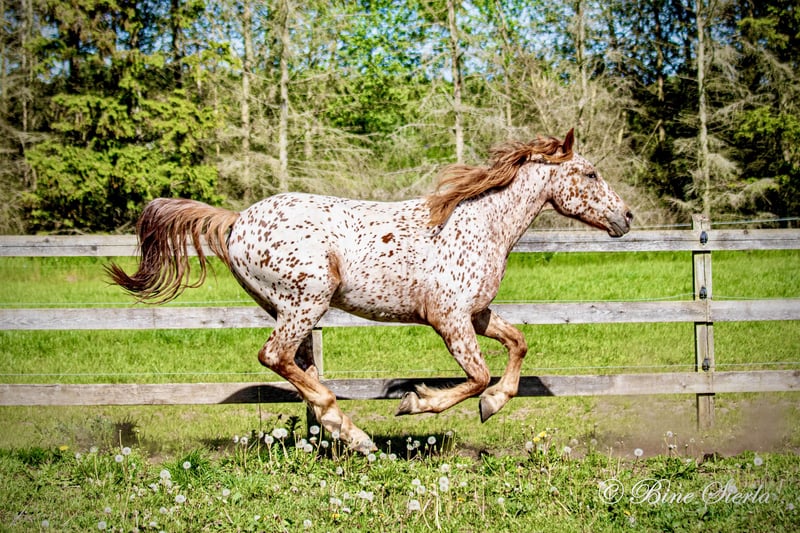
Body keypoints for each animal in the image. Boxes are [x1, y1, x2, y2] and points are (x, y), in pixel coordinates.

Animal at [107, 129, 633, 453]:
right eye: (590, 173)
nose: (625, 217)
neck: (482, 225)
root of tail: (237, 220)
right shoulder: (449, 320)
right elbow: (478, 375)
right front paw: (417, 403)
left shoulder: (478, 314)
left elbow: (519, 344)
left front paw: (494, 405)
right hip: (308, 299)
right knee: (274, 356)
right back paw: (352, 432)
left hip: (290, 308)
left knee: (297, 366)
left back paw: (343, 431)